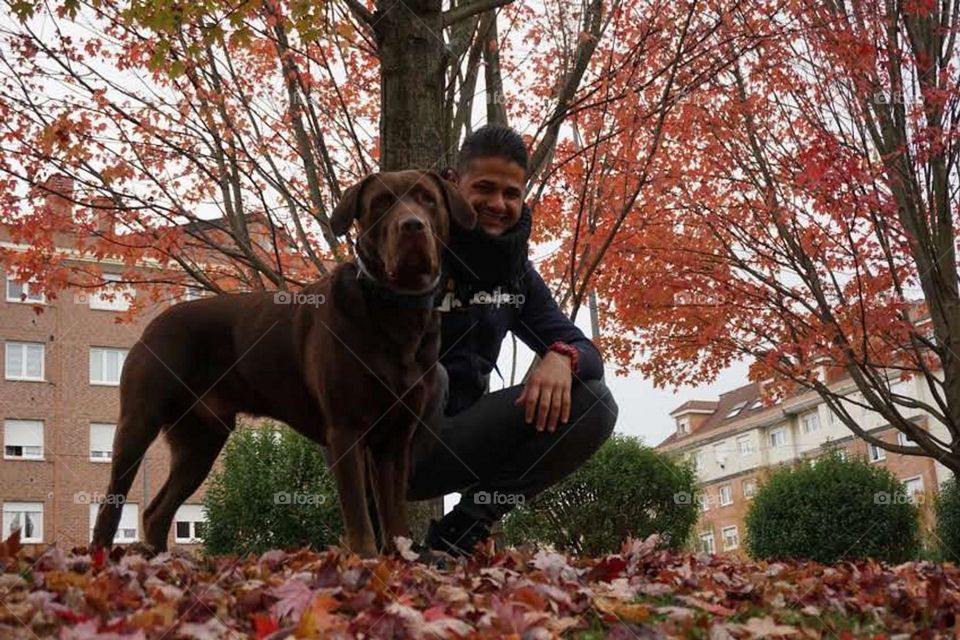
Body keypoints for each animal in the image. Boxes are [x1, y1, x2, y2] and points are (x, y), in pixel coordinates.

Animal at [92, 170, 474, 556]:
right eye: (381, 203)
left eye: (427, 199)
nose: (412, 225)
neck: (396, 313)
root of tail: (153, 325)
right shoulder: (345, 430)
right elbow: (360, 519)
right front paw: (367, 560)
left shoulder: (396, 436)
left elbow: (394, 515)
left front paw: (400, 561)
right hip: (141, 419)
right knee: (112, 504)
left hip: (201, 440)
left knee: (156, 511)